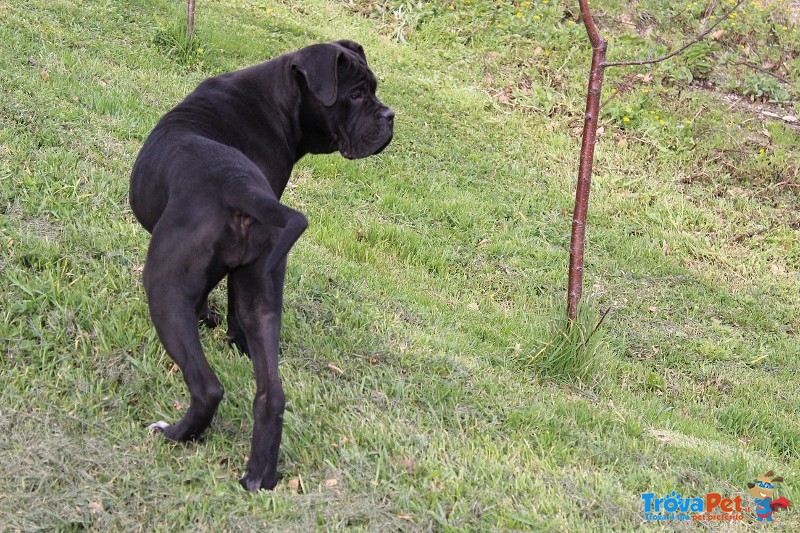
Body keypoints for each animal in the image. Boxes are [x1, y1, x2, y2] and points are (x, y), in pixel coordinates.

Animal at [128, 41, 394, 490]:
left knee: (207, 387)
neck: (276, 101)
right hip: (264, 295)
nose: (390, 115)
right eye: (358, 93)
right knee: (272, 393)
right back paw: (259, 474)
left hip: (163, 287)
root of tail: (239, 187)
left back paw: (177, 435)